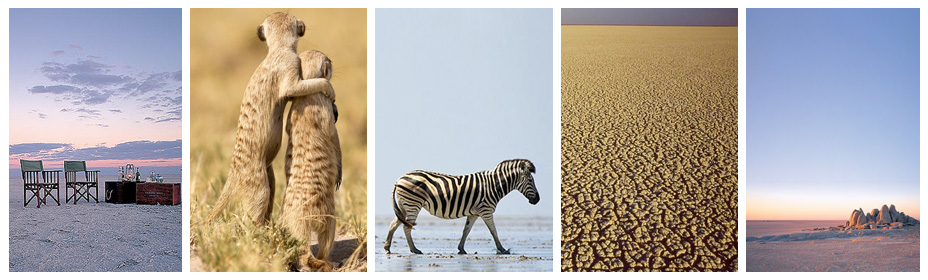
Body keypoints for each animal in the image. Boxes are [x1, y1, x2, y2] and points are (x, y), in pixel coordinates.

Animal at [384, 159, 540, 255]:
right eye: (530, 180)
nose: (537, 200)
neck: (493, 186)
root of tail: (399, 178)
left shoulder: (474, 213)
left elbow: (466, 230)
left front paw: (461, 249)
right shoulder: (486, 210)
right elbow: (493, 231)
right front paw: (502, 249)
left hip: (405, 205)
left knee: (394, 223)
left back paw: (387, 248)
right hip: (413, 204)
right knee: (406, 227)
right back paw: (414, 249)